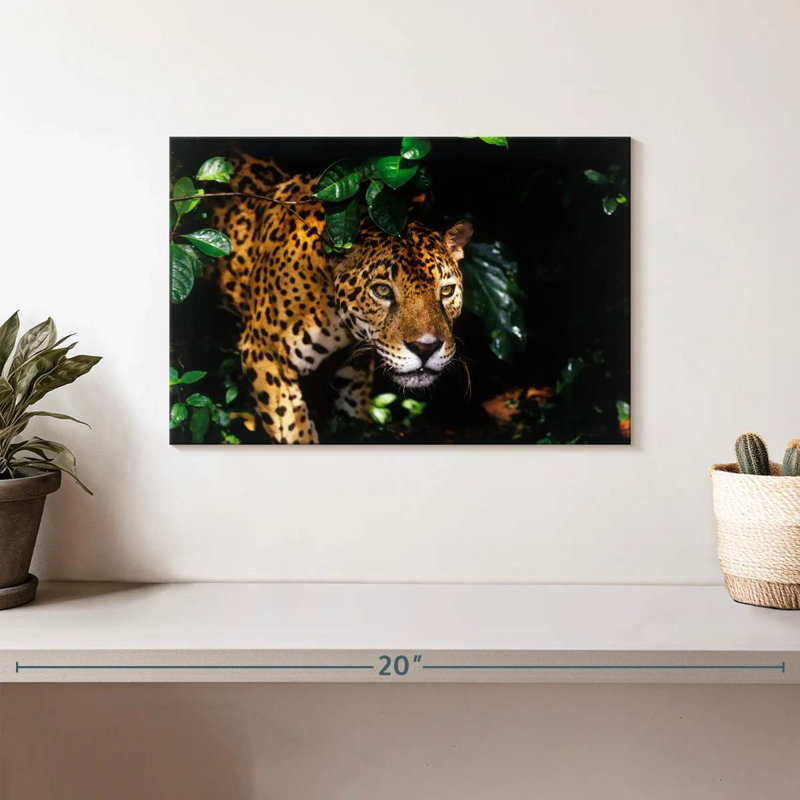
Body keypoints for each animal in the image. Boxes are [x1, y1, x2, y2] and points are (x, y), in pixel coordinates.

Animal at [208, 153, 472, 444]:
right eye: (382, 291)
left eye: (446, 291)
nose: (426, 348)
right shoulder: (264, 353)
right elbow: (295, 429)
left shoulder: (354, 369)